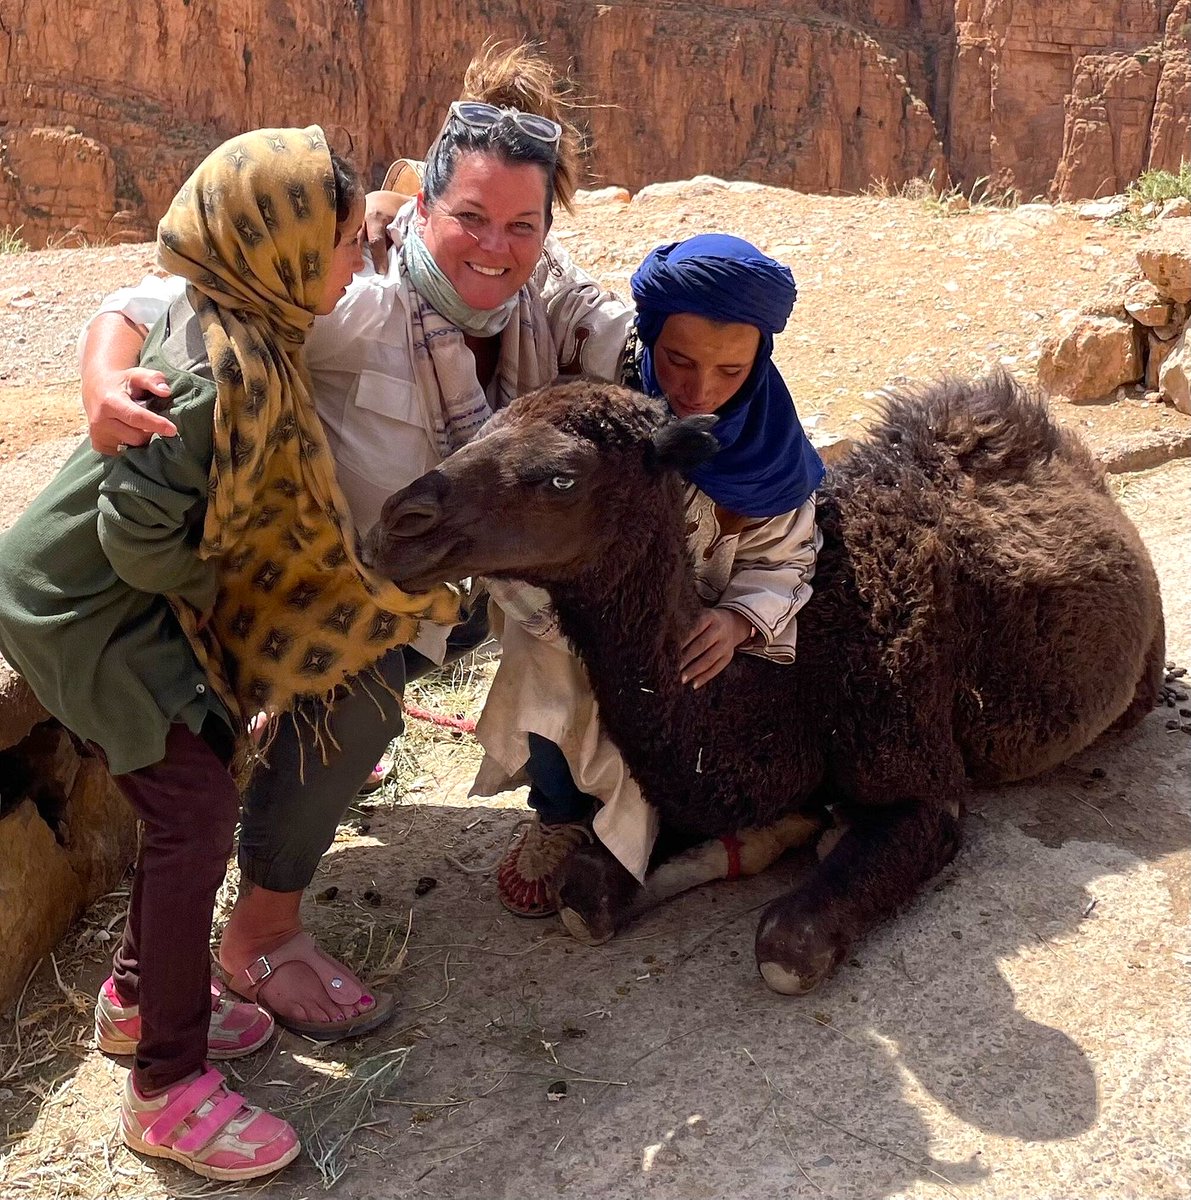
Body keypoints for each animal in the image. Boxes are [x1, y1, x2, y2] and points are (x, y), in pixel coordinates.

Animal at [363, 374, 1165, 995]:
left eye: (562, 477)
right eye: (482, 427)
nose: (394, 525)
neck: (793, 688)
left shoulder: (921, 785)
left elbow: (785, 947)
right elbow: (586, 895)